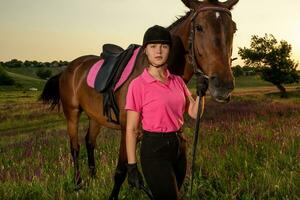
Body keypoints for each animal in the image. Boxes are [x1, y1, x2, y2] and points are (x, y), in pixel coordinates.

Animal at [41, 0, 239, 198]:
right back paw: (78, 184)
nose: (224, 86)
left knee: (89, 142)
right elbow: (121, 172)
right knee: (75, 148)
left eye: (234, 29)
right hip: (72, 113)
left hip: (95, 117)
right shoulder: (127, 131)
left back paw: (93, 179)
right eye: (199, 27)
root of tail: (70, 67)